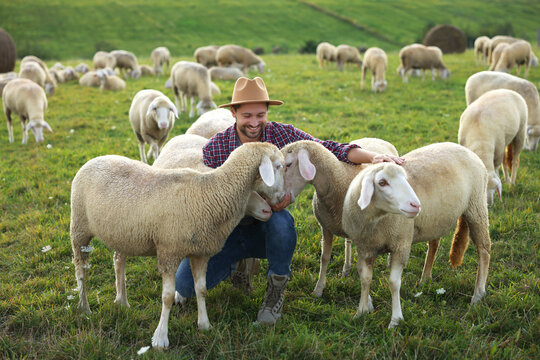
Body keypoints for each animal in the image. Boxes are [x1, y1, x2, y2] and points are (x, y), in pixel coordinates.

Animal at [70, 141, 286, 348]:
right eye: (278, 166)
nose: (278, 201)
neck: (211, 192)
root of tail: (94, 159)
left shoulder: (200, 253)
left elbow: (201, 289)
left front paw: (205, 325)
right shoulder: (169, 252)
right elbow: (166, 297)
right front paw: (160, 338)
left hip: (124, 235)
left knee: (118, 260)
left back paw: (122, 301)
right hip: (79, 228)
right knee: (80, 270)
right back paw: (84, 307)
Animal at [280, 138, 398, 296]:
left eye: (288, 164)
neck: (340, 178)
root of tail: (377, 138)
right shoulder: (325, 227)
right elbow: (324, 258)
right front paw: (318, 289)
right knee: (348, 242)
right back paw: (346, 269)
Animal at [344, 142, 492, 328]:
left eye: (405, 179)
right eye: (382, 182)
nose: (415, 205)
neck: (376, 221)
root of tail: (464, 149)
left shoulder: (401, 245)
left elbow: (393, 283)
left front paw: (395, 320)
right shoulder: (365, 248)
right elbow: (365, 279)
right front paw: (361, 312)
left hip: (476, 206)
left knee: (484, 250)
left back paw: (478, 294)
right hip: (436, 218)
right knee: (434, 244)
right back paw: (425, 279)